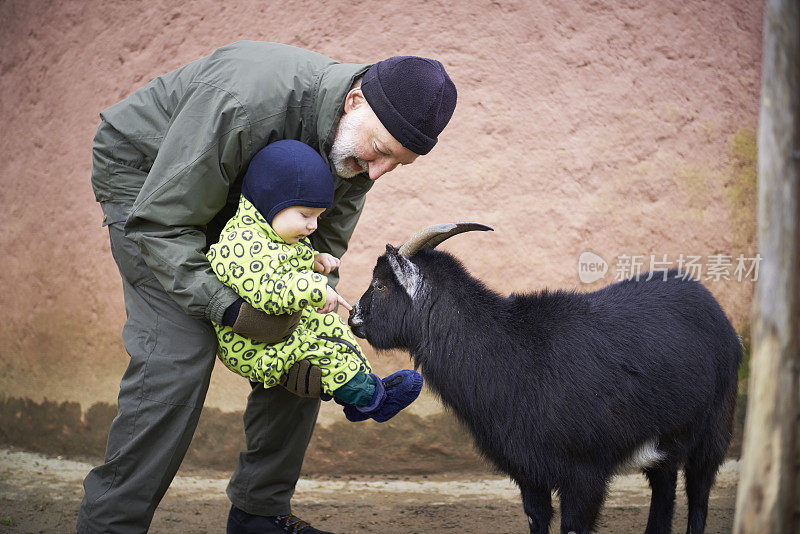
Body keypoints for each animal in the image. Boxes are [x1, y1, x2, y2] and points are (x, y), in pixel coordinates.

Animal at [350, 224, 744, 534]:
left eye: (381, 285)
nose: (354, 318)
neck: (513, 351)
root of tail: (712, 304)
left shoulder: (585, 474)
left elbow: (573, 526)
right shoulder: (528, 471)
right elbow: (537, 520)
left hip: (714, 428)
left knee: (698, 495)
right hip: (665, 440)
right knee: (664, 493)